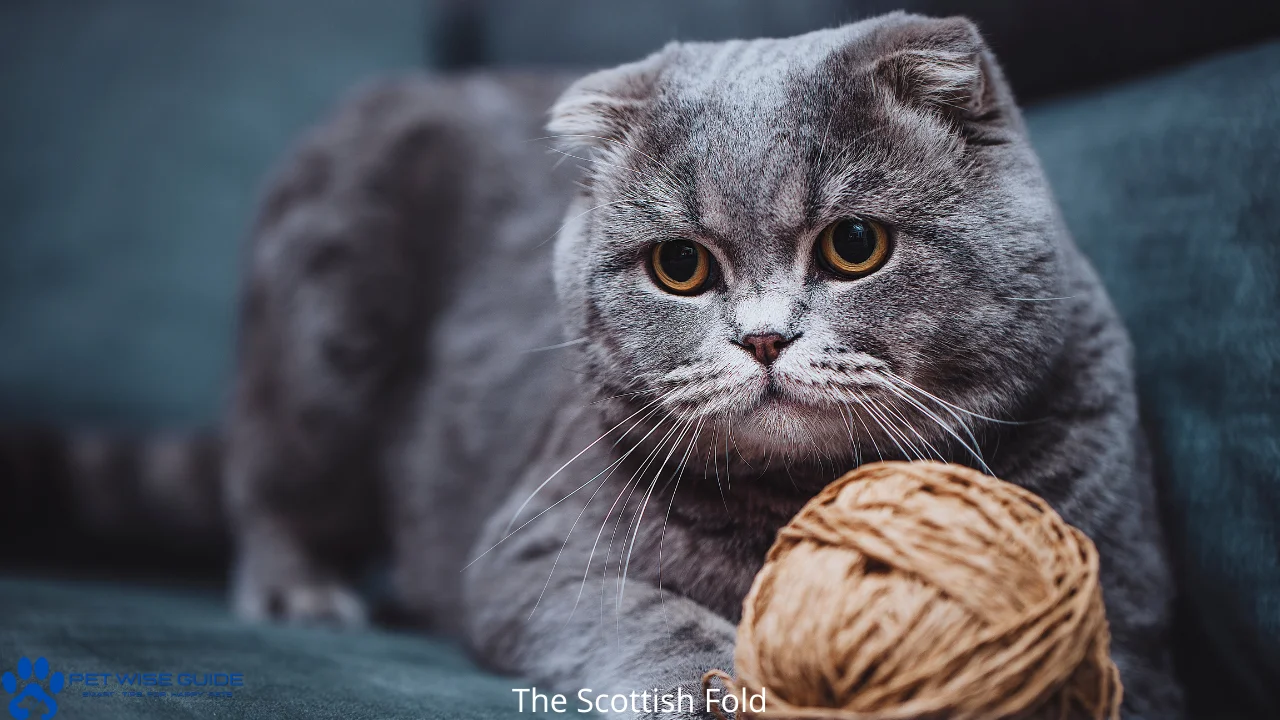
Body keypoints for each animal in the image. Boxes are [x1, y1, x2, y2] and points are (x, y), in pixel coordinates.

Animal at [12, 11, 1187, 717]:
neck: (795, 496)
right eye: (680, 266)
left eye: (855, 245)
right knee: (272, 485)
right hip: (320, 347)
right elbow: (655, 619)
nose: (763, 338)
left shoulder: (1129, 609)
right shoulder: (539, 552)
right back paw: (302, 590)